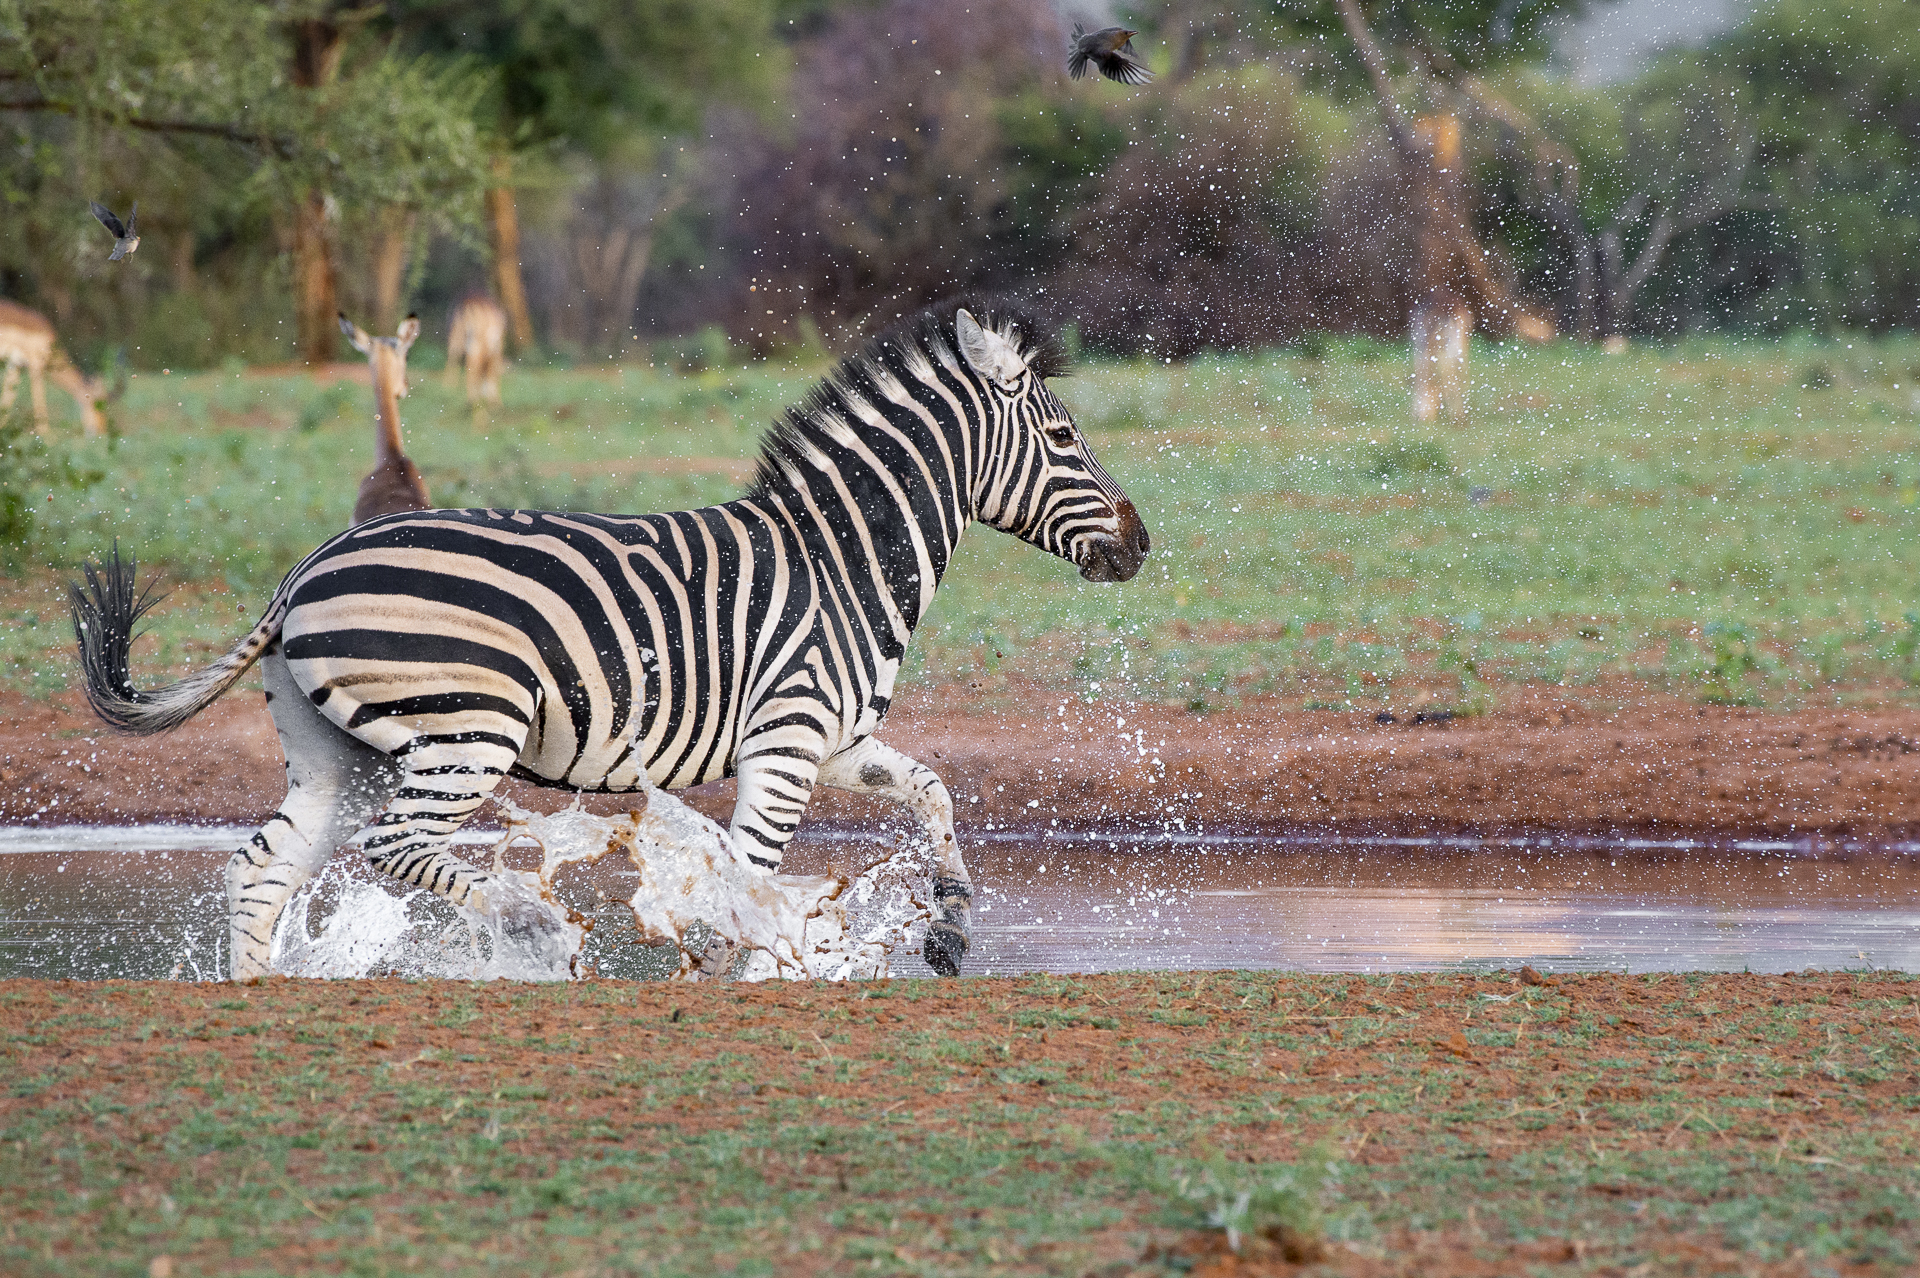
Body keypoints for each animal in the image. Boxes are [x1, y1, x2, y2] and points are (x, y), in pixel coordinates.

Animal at [71, 299, 1151, 982]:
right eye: (1064, 442)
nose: (1143, 543)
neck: (840, 561)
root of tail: (304, 571)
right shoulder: (788, 739)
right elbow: (749, 877)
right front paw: (737, 973)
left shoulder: (831, 738)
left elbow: (934, 790)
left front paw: (952, 933)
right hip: (466, 731)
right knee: (399, 845)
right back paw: (531, 927)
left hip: (340, 748)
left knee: (265, 866)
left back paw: (264, 991)